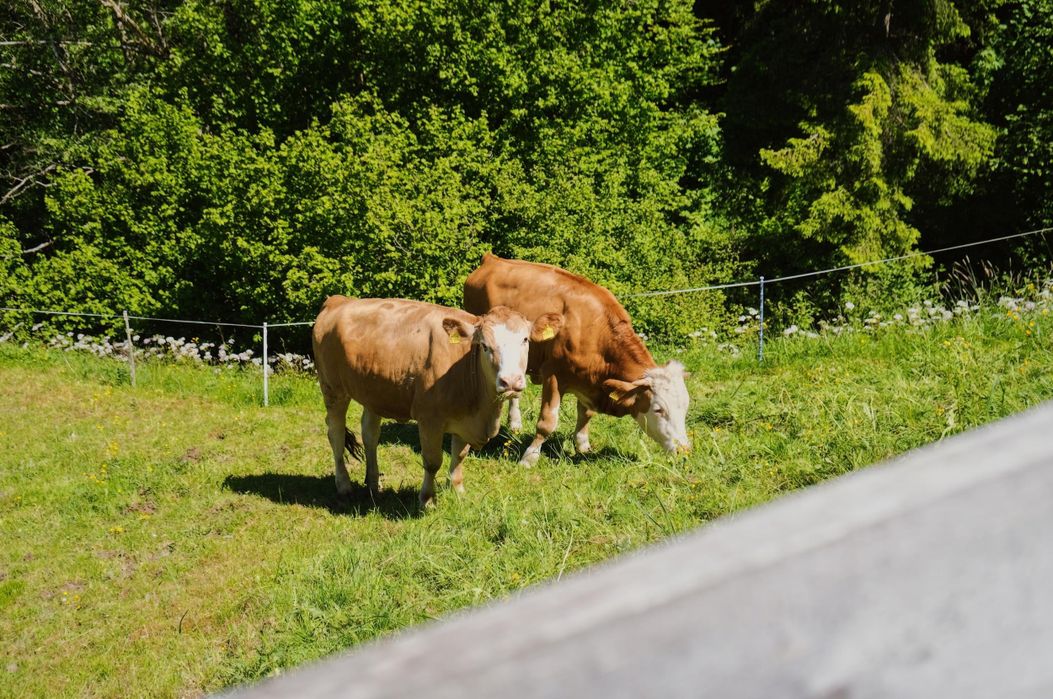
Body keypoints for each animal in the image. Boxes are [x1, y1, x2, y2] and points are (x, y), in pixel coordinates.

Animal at [312, 296, 563, 506]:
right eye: (484, 345)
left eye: (525, 339)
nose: (510, 381)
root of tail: (338, 300)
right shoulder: (429, 419)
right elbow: (433, 461)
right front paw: (427, 499)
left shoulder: (465, 420)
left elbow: (459, 456)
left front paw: (458, 491)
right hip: (332, 389)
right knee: (335, 434)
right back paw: (344, 485)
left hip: (374, 392)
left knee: (370, 434)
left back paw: (374, 483)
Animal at [463, 253, 690, 466]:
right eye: (659, 409)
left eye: (686, 407)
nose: (685, 450)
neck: (595, 331)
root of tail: (492, 259)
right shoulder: (553, 376)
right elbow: (547, 422)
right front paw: (529, 457)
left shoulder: (591, 382)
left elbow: (586, 414)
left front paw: (582, 445)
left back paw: (515, 422)